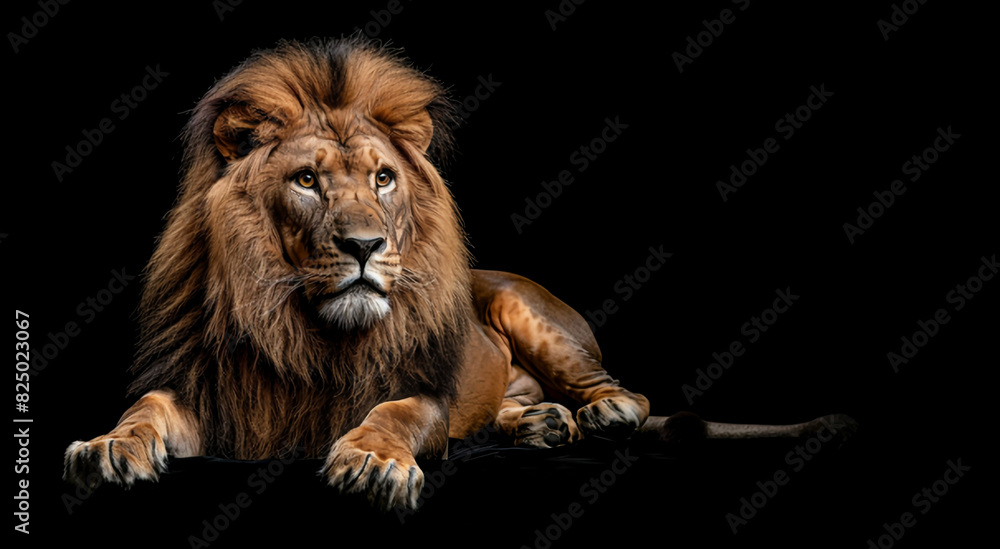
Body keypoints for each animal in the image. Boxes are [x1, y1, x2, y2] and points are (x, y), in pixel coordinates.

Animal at [63, 37, 853, 511]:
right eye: (307, 181)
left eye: (382, 178)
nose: (365, 245)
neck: (304, 329)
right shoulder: (209, 390)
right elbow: (146, 409)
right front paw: (107, 447)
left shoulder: (419, 390)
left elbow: (395, 414)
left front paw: (372, 462)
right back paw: (539, 422)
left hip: (523, 308)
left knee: (626, 389)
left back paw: (595, 413)